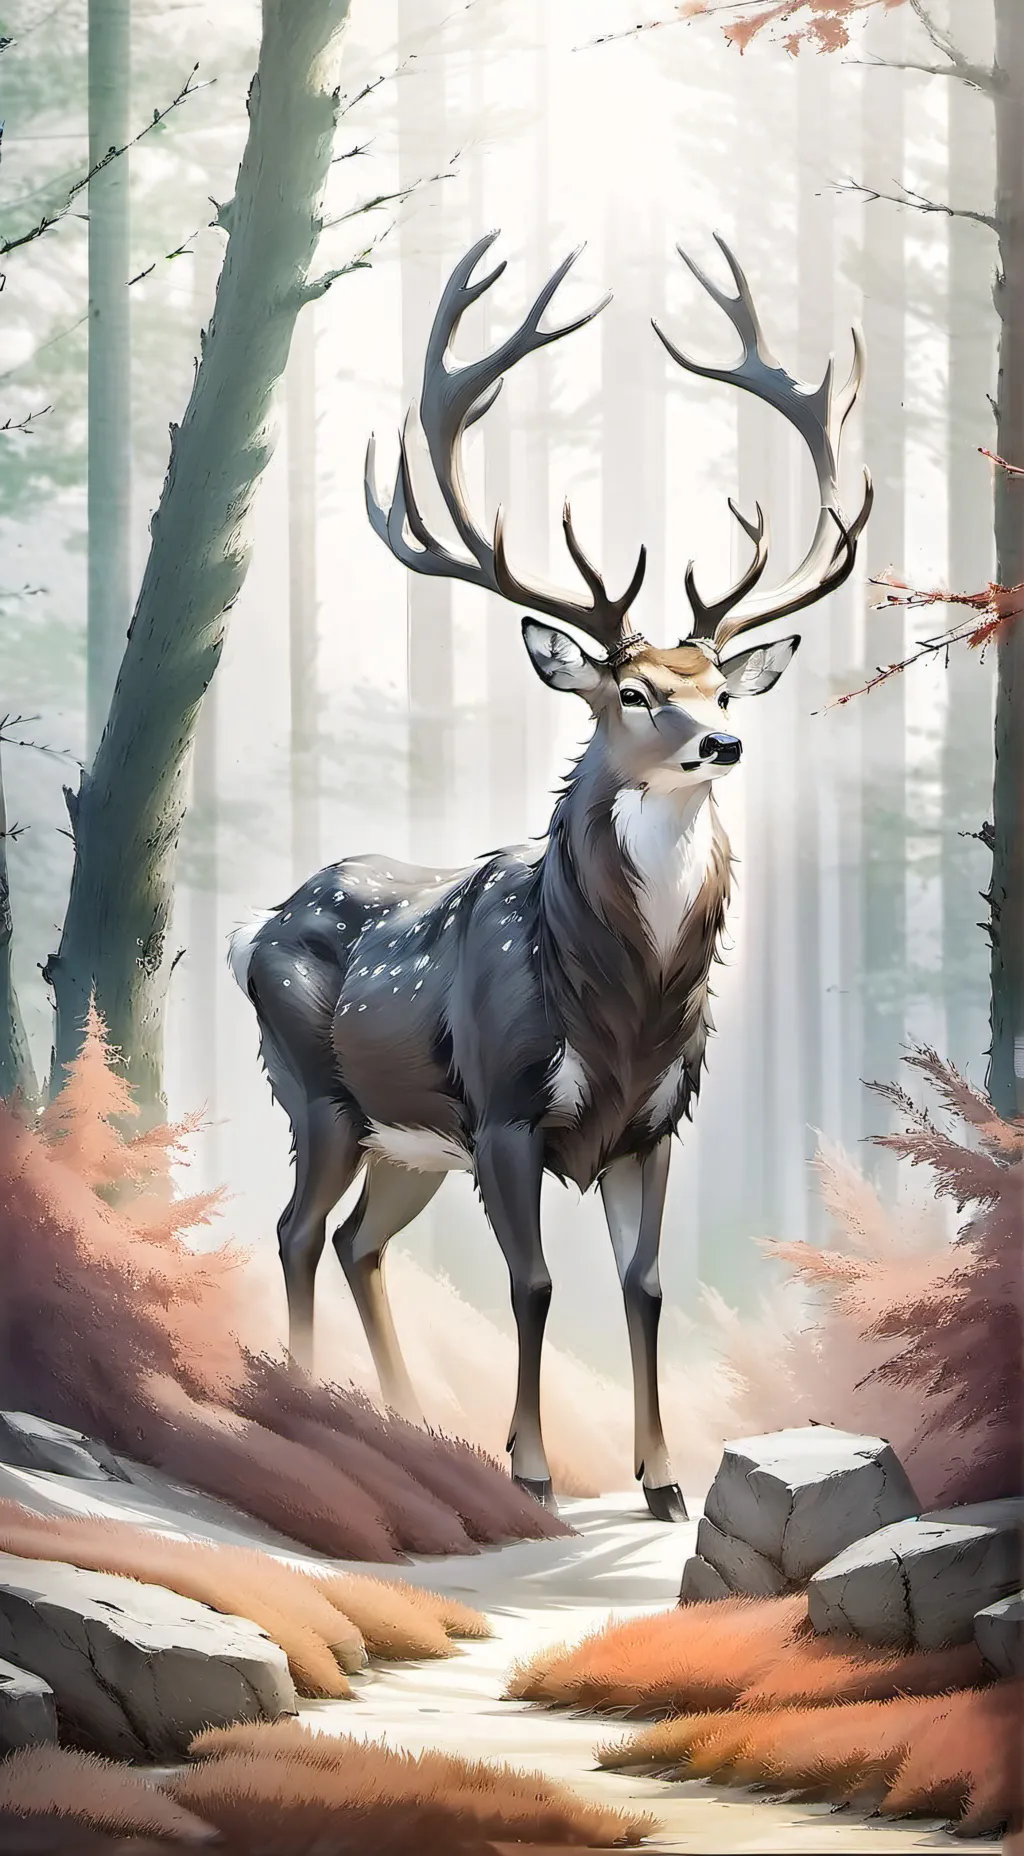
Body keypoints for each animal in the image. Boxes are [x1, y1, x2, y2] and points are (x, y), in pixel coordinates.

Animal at [229, 231, 871, 1520]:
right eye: (632, 690)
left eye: (717, 682)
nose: (722, 740)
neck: (621, 1007)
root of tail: (250, 930)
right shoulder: (508, 1103)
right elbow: (531, 1284)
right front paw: (529, 1466)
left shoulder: (655, 1119)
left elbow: (646, 1286)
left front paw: (662, 1479)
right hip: (318, 1091)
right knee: (294, 1229)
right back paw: (320, 1399)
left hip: (408, 1139)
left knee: (361, 1240)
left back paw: (408, 1414)